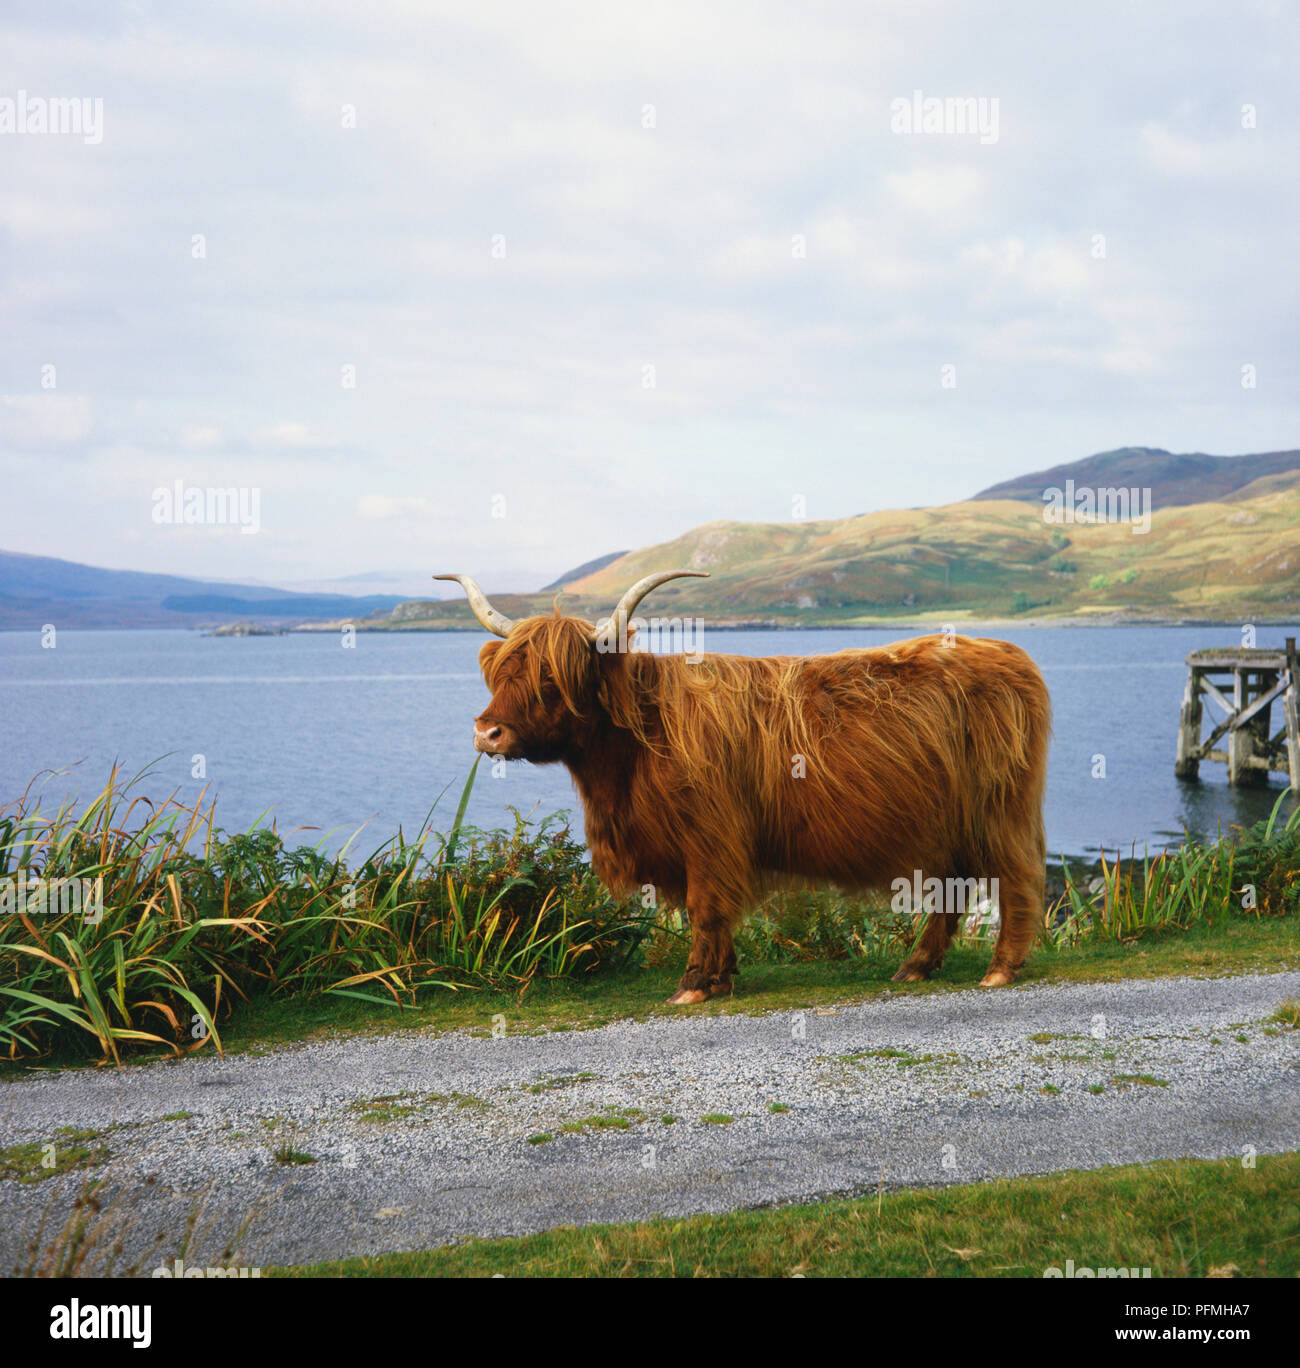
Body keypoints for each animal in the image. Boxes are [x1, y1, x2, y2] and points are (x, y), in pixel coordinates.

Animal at [437, 570, 1051, 1005]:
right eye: (502, 673)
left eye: (552, 678)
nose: (487, 732)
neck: (633, 751)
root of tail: (1010, 655)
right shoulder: (691, 844)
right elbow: (709, 909)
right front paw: (722, 977)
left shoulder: (710, 834)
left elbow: (707, 906)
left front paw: (692, 984)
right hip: (953, 819)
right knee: (954, 887)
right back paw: (915, 967)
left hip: (1000, 808)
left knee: (1017, 878)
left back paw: (999, 970)